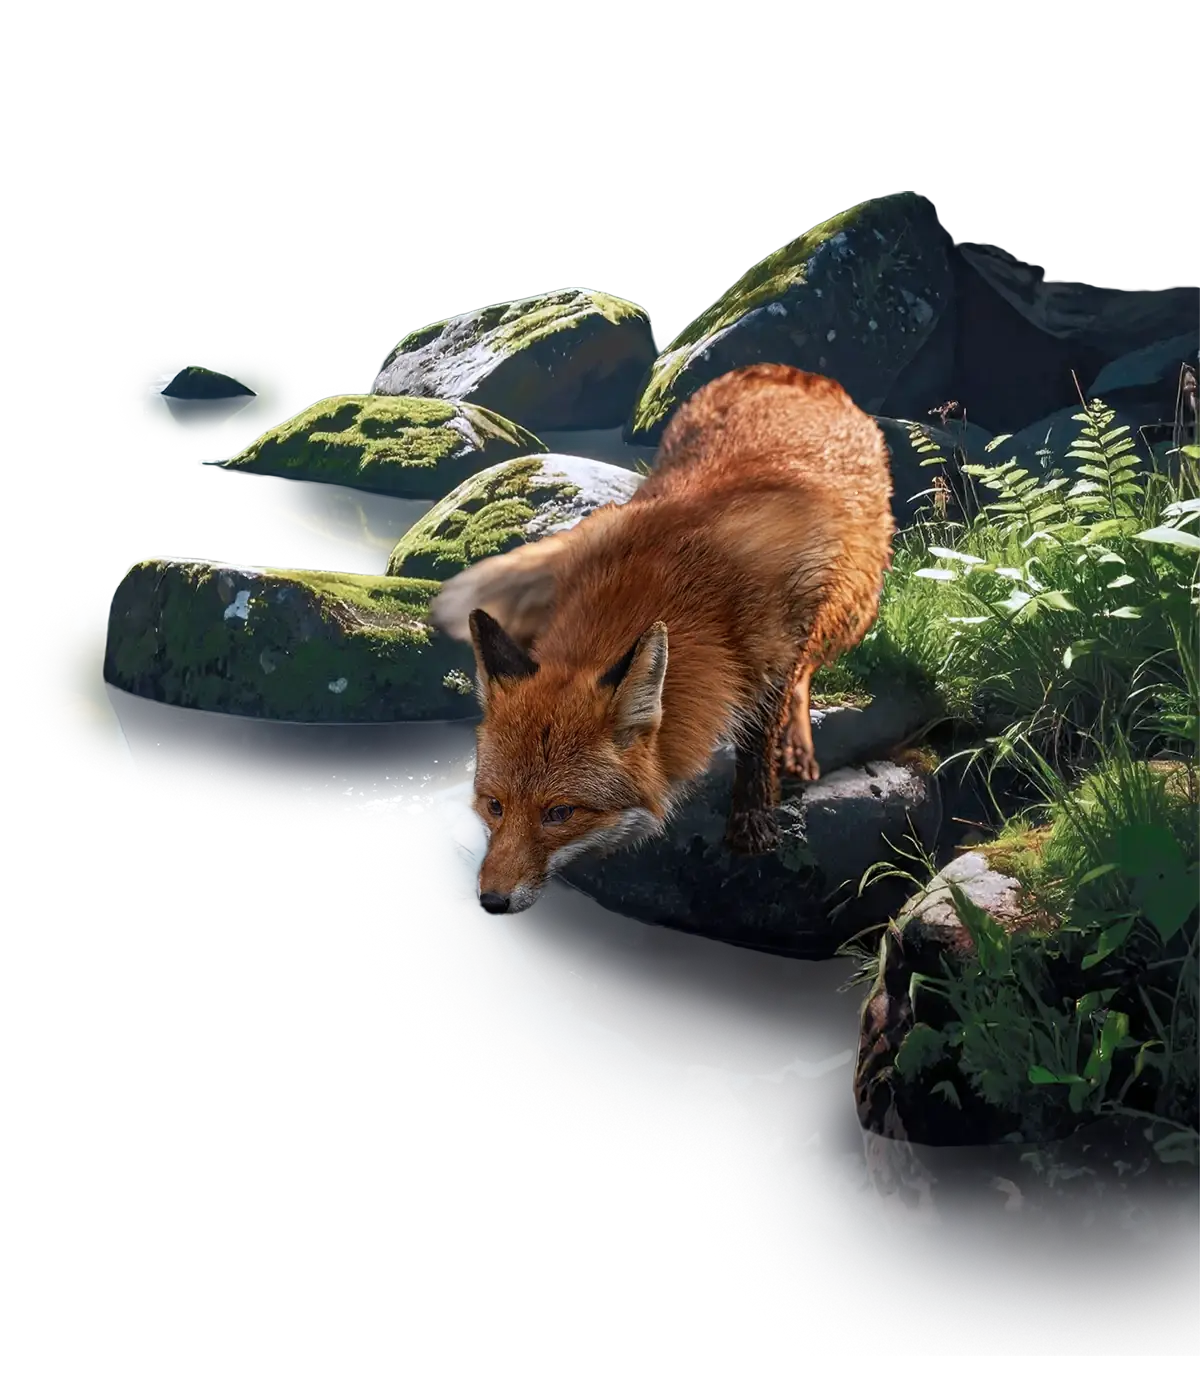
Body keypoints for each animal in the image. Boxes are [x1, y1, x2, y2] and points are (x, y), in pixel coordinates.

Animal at [428, 363, 895, 915]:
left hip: (855, 608)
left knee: (811, 669)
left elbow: (758, 739)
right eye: (495, 805)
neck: (669, 571)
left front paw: (752, 823)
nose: (491, 902)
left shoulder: (778, 646)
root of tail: (787, 372)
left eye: (560, 813)